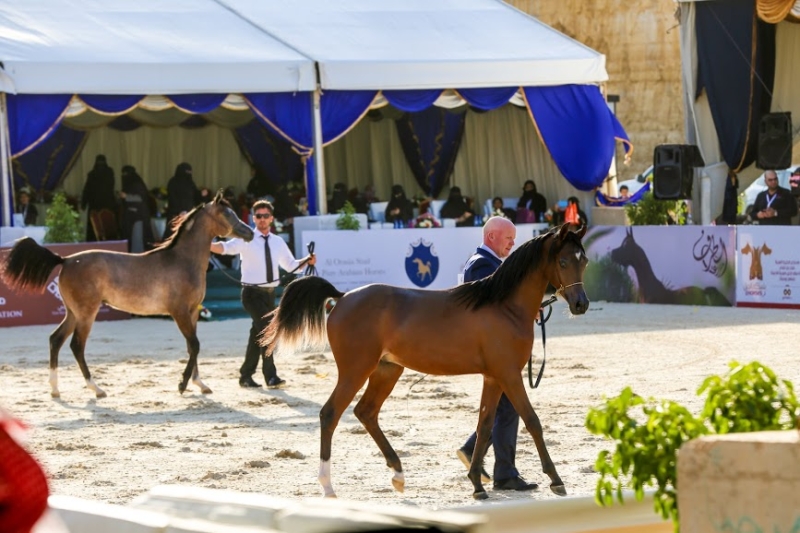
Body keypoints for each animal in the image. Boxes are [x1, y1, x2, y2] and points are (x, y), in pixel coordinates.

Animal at [0, 189, 253, 396]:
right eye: (227, 214)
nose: (249, 233)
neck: (181, 261)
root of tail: (66, 259)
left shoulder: (192, 312)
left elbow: (192, 346)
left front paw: (200, 384)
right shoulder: (179, 312)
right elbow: (195, 345)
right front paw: (182, 385)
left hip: (73, 312)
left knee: (55, 340)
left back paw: (55, 390)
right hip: (86, 313)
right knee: (76, 345)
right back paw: (96, 389)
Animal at [260, 222, 588, 500]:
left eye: (583, 261)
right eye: (562, 262)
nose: (580, 304)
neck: (503, 306)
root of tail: (341, 297)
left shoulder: (493, 377)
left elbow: (485, 425)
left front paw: (477, 484)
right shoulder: (509, 375)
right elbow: (532, 421)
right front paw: (556, 480)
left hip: (387, 370)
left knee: (366, 412)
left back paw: (398, 475)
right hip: (355, 370)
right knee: (330, 414)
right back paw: (328, 486)